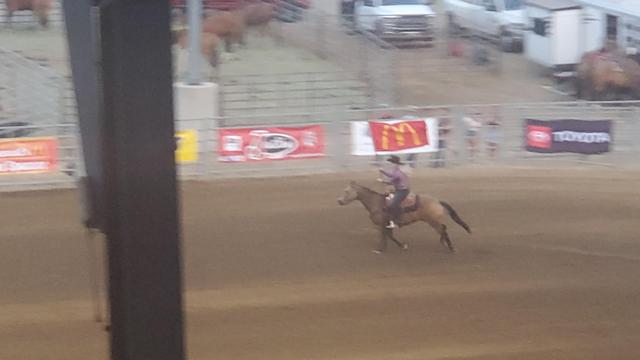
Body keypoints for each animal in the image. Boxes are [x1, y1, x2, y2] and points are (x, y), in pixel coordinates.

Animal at [338, 180, 472, 253]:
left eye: (346, 191)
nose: (339, 201)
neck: (376, 203)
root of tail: (437, 201)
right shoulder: (387, 225)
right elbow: (390, 236)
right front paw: (402, 246)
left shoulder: (382, 224)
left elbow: (385, 236)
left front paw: (380, 249)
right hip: (433, 221)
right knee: (443, 229)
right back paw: (444, 243)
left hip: (432, 221)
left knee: (443, 229)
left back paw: (450, 247)